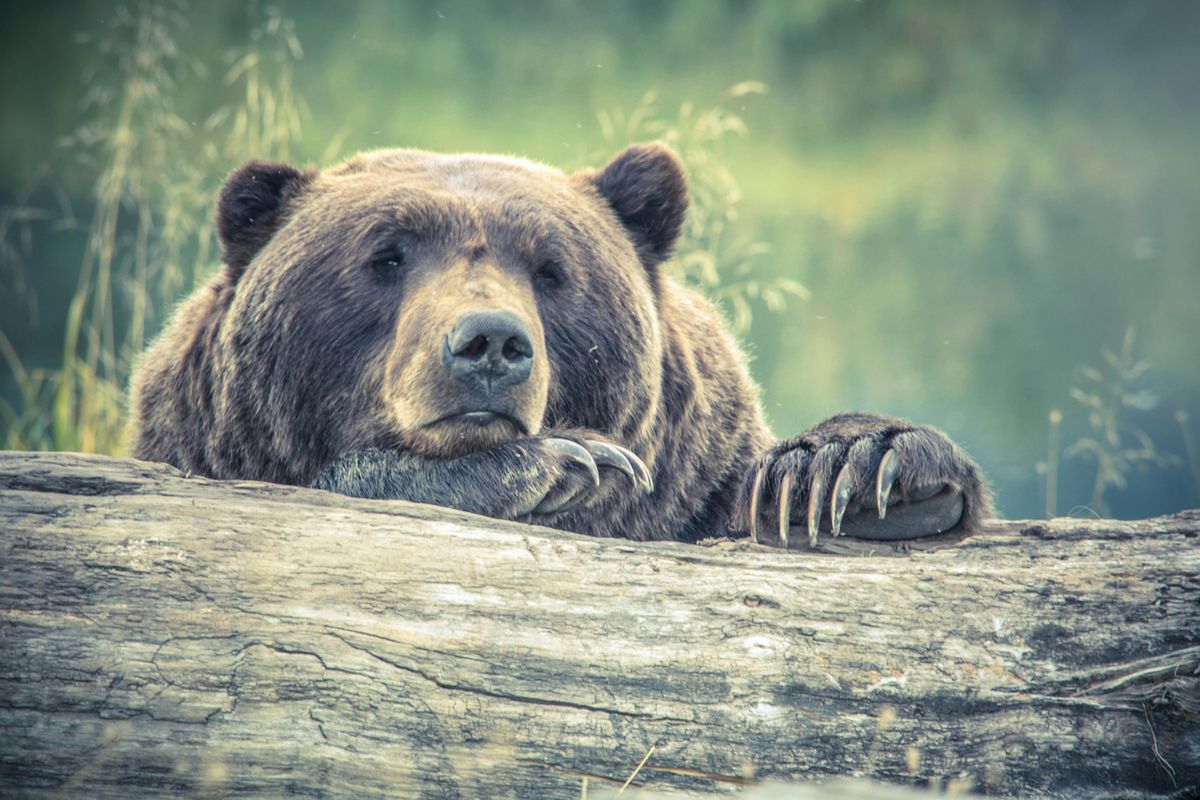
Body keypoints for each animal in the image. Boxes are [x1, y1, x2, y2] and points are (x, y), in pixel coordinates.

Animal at [131, 142, 993, 544]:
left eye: (550, 268)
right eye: (386, 255)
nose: (490, 342)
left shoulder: (696, 481)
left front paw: (850, 471)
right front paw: (562, 463)